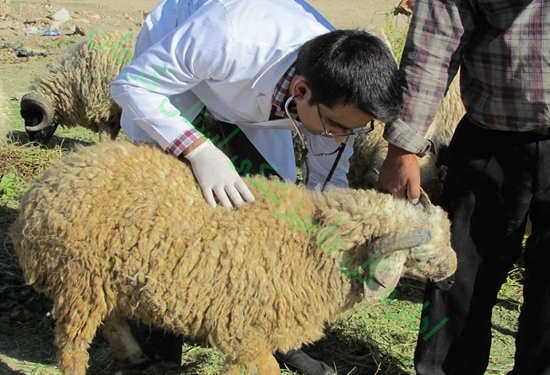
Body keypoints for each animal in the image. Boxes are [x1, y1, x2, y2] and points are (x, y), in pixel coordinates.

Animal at [11, 140, 458, 375]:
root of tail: (40, 190)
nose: (454, 273)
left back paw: (133, 354)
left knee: (113, 318)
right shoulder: (245, 331)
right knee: (72, 344)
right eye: (421, 255)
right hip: (79, 278)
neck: (312, 245)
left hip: (104, 278)